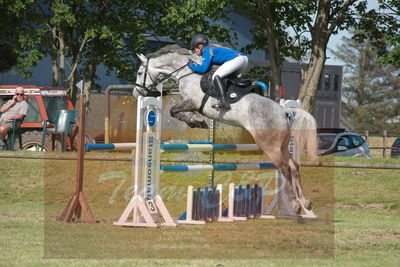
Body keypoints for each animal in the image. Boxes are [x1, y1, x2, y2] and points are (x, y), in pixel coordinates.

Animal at [133, 45, 318, 215]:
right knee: (294, 166)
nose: (136, 93)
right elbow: (178, 112)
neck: (188, 73)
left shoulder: (191, 102)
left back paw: (295, 203)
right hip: (283, 146)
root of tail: (284, 112)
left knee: (285, 168)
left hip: (270, 146)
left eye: (140, 72)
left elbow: (174, 111)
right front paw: (197, 120)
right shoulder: (190, 103)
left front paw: (196, 121)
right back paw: (305, 202)